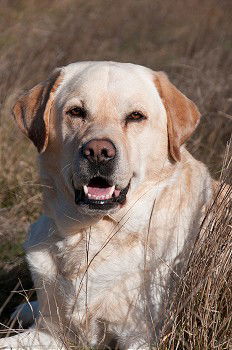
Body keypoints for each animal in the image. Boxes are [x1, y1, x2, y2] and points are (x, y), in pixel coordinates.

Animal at [0, 61, 214, 348]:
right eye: (76, 112)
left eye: (135, 116)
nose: (98, 152)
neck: (91, 234)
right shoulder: (50, 333)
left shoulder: (140, 337)